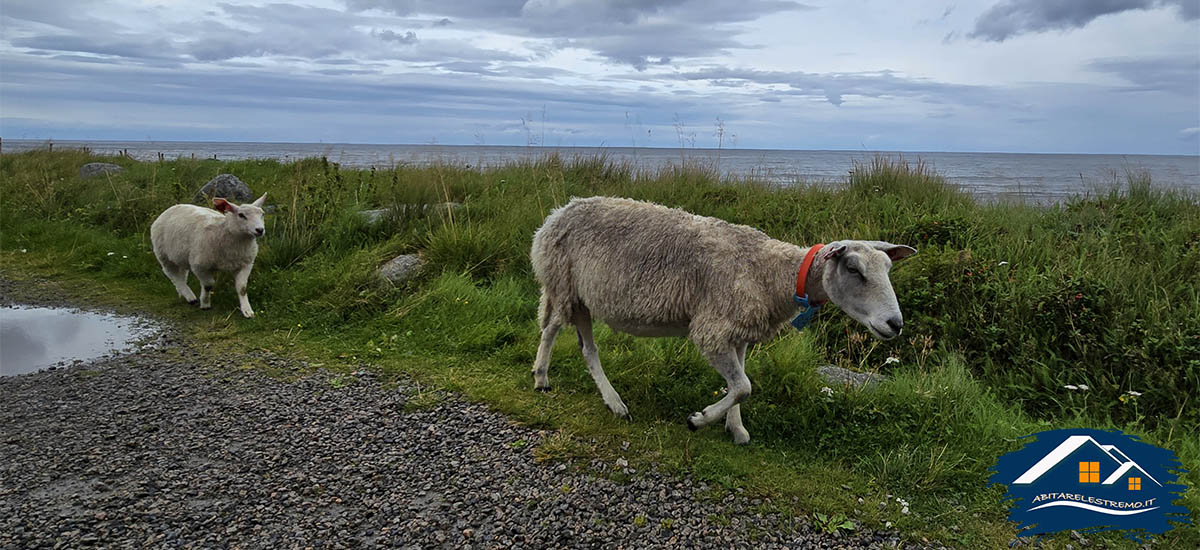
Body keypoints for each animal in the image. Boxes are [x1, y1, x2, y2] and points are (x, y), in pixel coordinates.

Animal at [530, 195, 912, 444]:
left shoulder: (739, 331)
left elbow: (739, 384)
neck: (773, 273)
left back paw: (596, 394)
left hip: (577, 294)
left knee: (576, 341)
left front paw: (736, 429)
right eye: (853, 269)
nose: (895, 324)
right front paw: (698, 420)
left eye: (889, 268)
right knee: (557, 332)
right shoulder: (712, 330)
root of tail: (555, 215)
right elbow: (743, 386)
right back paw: (555, 382)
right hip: (564, 284)